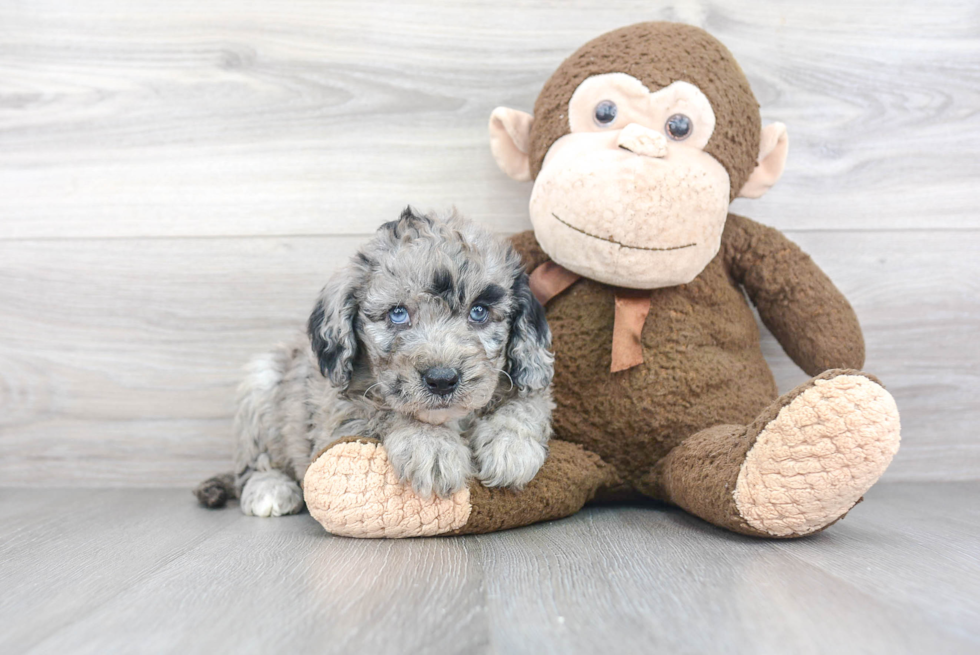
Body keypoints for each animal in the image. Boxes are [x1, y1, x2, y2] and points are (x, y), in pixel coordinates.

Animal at [195, 210, 556, 516]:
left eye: (479, 311)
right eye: (397, 313)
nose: (442, 379)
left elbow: (529, 402)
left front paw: (511, 447)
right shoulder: (338, 418)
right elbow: (385, 411)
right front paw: (431, 447)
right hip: (260, 382)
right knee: (254, 464)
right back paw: (270, 489)